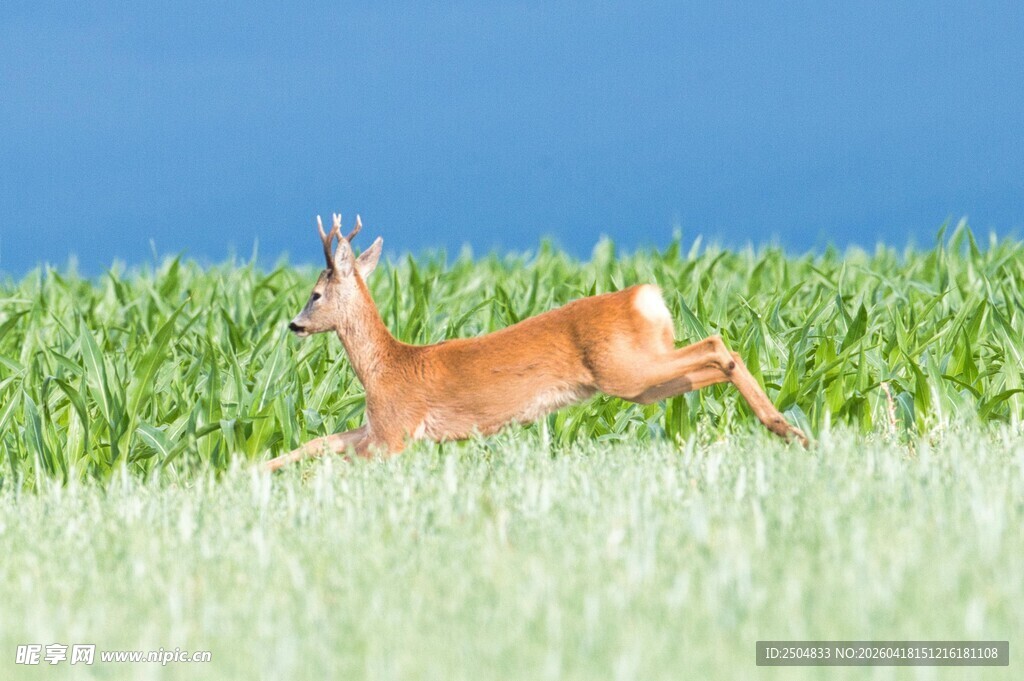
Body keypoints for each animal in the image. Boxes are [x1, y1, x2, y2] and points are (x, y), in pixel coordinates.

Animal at [264, 213, 808, 471]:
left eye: (315, 294)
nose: (293, 325)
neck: (385, 365)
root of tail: (647, 297)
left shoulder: (395, 430)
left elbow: (337, 462)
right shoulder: (376, 426)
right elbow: (317, 442)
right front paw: (255, 471)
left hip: (625, 369)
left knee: (718, 344)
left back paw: (785, 428)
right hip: (642, 379)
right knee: (713, 360)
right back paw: (790, 431)